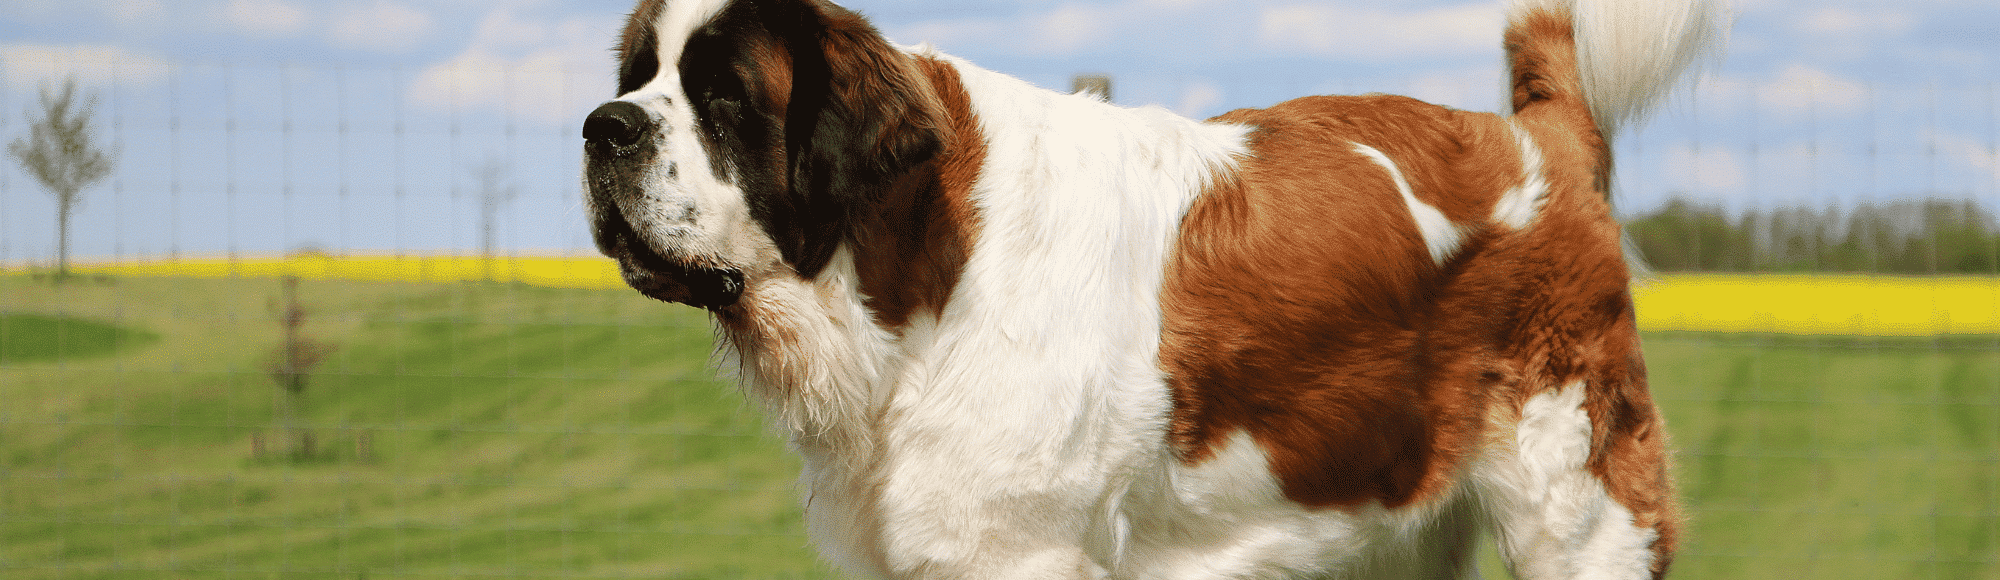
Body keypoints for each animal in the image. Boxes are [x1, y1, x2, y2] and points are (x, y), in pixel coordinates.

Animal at [576, 0, 1720, 576]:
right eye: (636, 76)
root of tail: (1538, 134)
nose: (601, 125)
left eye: (725, 98)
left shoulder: (1019, 552)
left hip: (1580, 513)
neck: (917, 269)